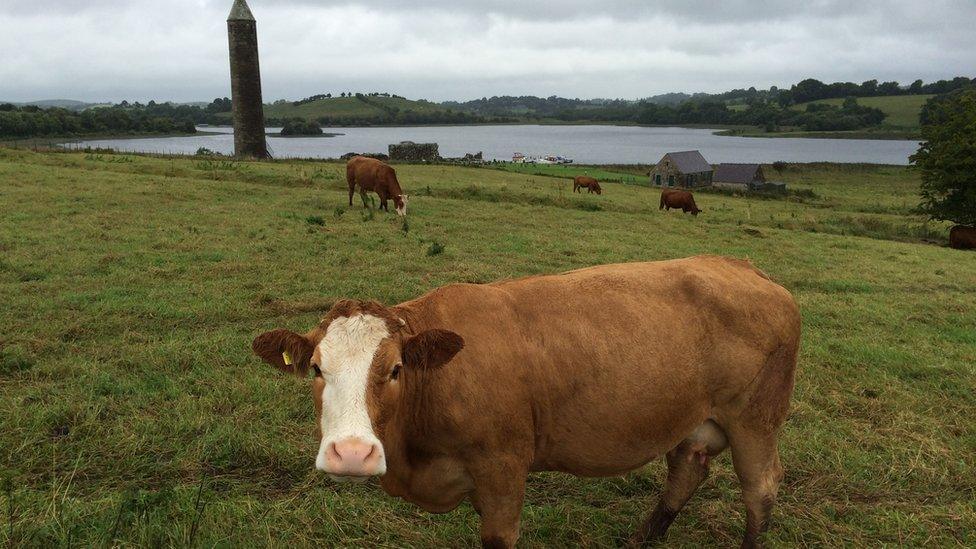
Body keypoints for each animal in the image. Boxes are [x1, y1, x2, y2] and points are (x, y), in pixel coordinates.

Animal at [252, 256, 800, 548]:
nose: (351, 453)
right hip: (692, 418)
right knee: (688, 471)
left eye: (395, 369)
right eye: (317, 369)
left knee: (761, 487)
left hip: (756, 419)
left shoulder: (503, 468)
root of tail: (741, 265)